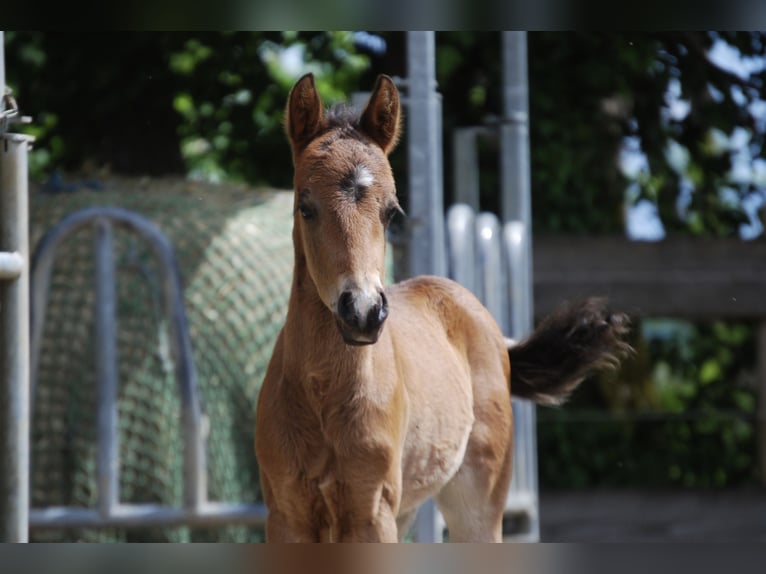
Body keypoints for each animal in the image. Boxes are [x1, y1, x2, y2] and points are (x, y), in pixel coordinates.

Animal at [254, 73, 632, 542]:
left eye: (391, 213)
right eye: (305, 208)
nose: (362, 311)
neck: (322, 395)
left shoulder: (371, 513)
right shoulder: (286, 515)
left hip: (477, 505)